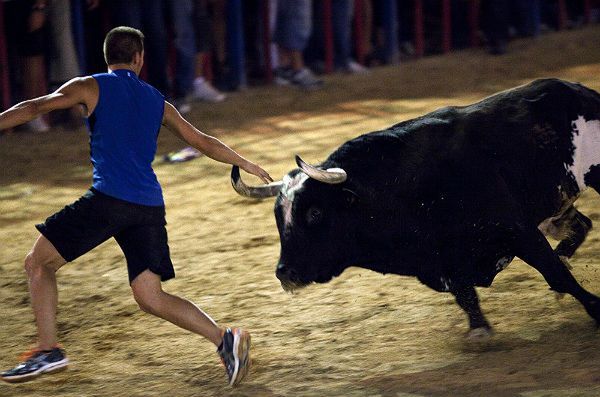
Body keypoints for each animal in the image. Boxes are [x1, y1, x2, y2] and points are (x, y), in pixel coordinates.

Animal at [232, 78, 600, 338]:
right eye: (278, 217)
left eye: (314, 213)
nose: (285, 272)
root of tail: (578, 90)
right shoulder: (443, 262)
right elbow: (466, 295)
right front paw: (479, 330)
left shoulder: (518, 231)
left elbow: (557, 275)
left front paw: (595, 308)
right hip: (555, 208)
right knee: (581, 225)